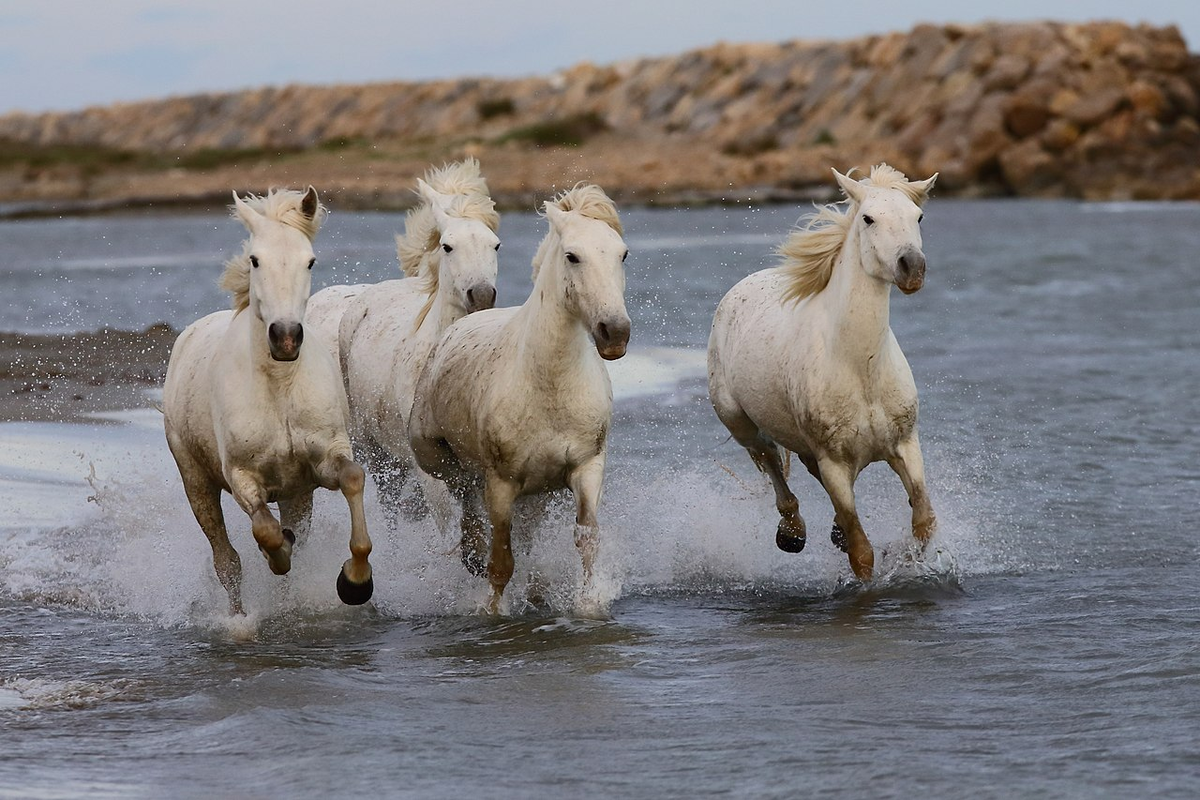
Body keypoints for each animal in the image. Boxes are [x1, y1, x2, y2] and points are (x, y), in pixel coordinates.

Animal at [162, 185, 372, 614]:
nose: (286, 337)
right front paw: (278, 556)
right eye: (255, 259)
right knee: (226, 560)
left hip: (297, 494)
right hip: (196, 482)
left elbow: (353, 478)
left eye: (310, 261)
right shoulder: (242, 477)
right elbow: (265, 531)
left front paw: (355, 582)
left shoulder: (323, 461)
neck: (280, 388)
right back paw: (240, 618)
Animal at [410, 185, 633, 614]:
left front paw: (588, 604)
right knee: (466, 504)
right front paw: (493, 609)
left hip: (536, 496)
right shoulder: (500, 484)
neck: (549, 387)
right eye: (572, 256)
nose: (614, 333)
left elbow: (586, 540)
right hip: (439, 459)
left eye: (622, 253)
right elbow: (501, 562)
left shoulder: (587, 468)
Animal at [705, 165, 940, 582]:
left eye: (919, 217)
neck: (860, 367)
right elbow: (861, 553)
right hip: (738, 421)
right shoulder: (834, 462)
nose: (912, 268)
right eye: (868, 219)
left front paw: (906, 557)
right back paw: (792, 533)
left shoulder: (905, 445)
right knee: (768, 459)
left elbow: (923, 520)